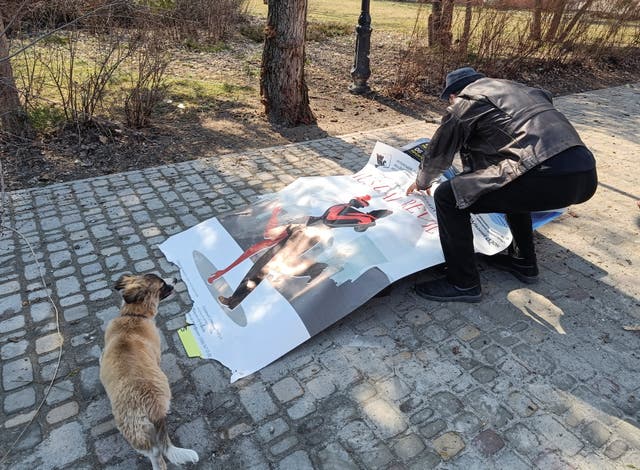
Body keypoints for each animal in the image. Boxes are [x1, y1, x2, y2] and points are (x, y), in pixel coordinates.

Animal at [99, 274, 198, 468]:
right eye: (163, 284)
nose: (175, 278)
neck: (134, 316)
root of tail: (152, 407)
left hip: (137, 436)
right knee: (157, 456)